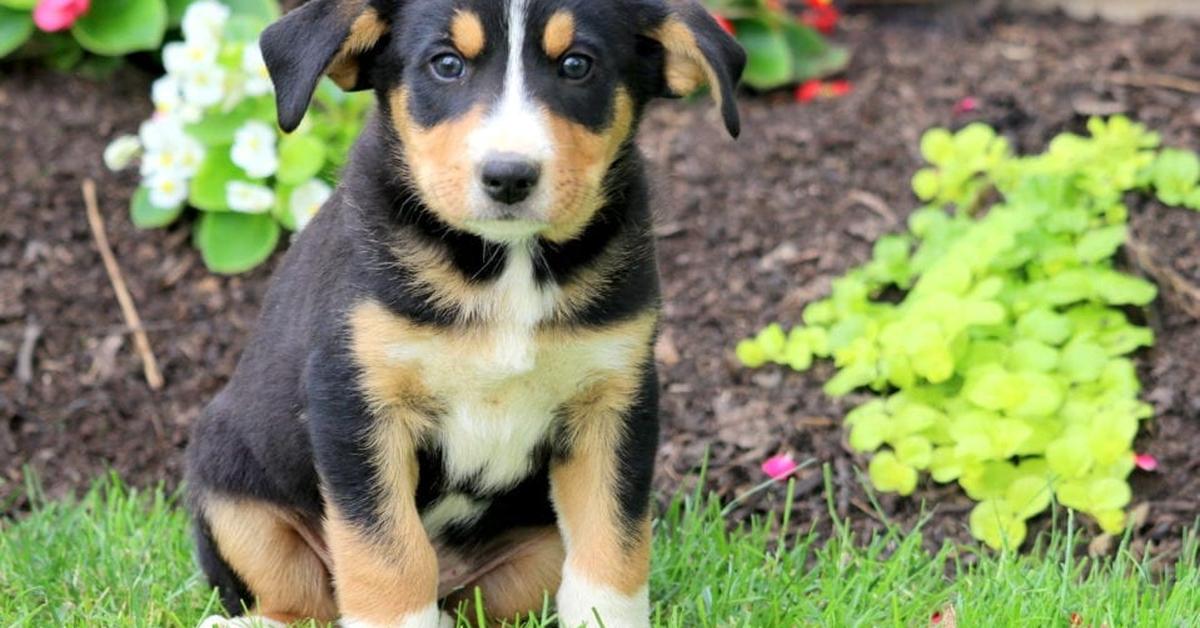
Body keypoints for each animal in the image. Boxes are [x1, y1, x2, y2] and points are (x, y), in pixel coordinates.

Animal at [186, 1, 739, 628]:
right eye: (446, 64)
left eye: (577, 65)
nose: (509, 176)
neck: (506, 262)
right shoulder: (357, 403)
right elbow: (389, 559)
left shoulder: (614, 403)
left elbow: (612, 551)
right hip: (231, 494)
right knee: (300, 599)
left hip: (539, 548)